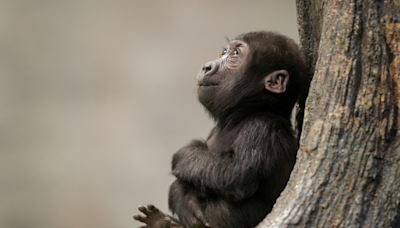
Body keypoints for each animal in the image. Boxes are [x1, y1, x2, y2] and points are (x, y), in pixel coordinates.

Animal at [134, 30, 310, 228]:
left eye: (235, 54)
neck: (245, 113)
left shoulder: (262, 127)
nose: (207, 67)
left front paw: (183, 156)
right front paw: (182, 196)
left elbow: (236, 174)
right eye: (224, 52)